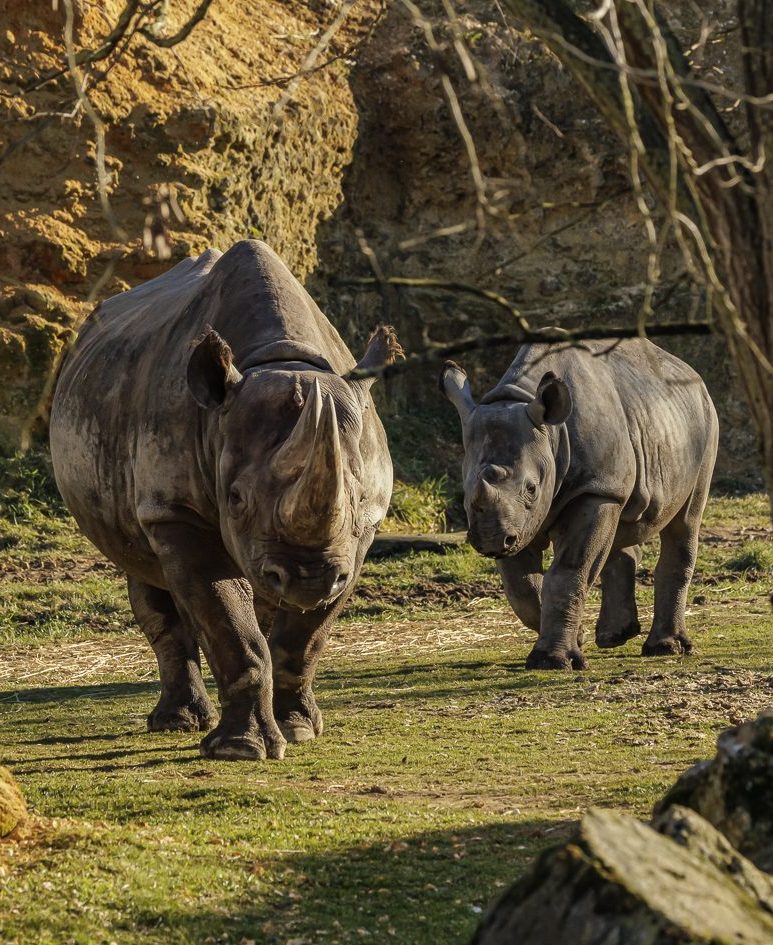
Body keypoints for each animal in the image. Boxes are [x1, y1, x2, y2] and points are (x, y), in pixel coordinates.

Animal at [50, 240, 401, 760]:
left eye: (357, 499)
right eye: (234, 499)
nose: (309, 576)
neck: (277, 361)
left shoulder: (358, 537)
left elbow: (304, 638)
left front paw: (297, 728)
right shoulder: (176, 512)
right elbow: (229, 626)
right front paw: (241, 750)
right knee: (148, 574)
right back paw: (177, 722)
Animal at [441, 338, 718, 670]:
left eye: (531, 489)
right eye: (465, 492)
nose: (490, 540)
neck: (550, 434)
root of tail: (692, 374)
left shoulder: (594, 490)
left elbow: (569, 571)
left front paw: (552, 661)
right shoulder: (517, 521)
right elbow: (522, 586)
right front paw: (579, 637)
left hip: (705, 424)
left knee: (685, 522)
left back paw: (666, 648)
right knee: (621, 528)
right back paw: (615, 636)